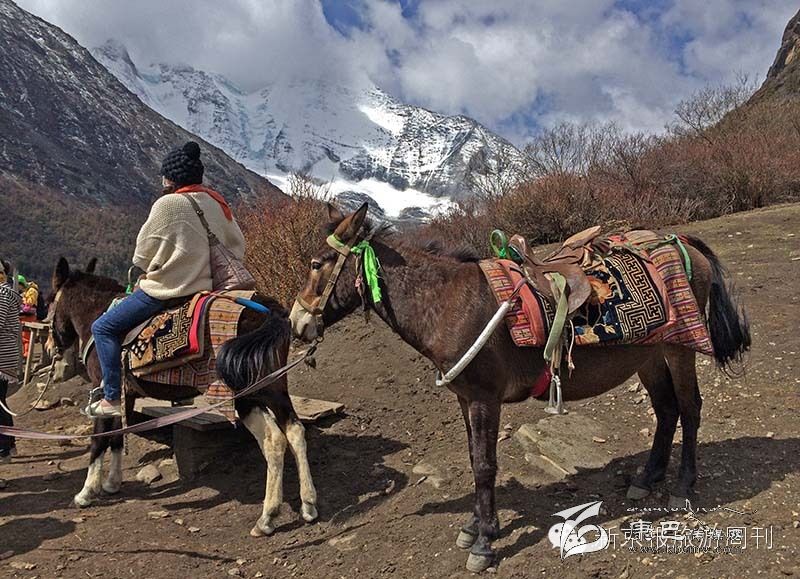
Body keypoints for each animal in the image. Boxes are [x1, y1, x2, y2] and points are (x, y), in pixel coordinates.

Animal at [48, 257, 318, 537]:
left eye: (48, 303)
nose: (50, 347)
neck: (97, 315)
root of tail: (270, 313)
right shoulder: (125, 396)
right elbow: (117, 437)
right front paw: (112, 483)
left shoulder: (104, 390)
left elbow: (99, 440)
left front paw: (86, 492)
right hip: (273, 387)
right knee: (294, 431)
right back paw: (308, 505)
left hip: (246, 395)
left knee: (273, 440)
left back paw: (267, 517)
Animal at [289, 203, 751, 572]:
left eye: (317, 263)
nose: (297, 323)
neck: (448, 304)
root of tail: (682, 240)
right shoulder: (465, 399)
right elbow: (474, 457)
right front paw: (478, 525)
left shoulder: (484, 399)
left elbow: (484, 466)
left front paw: (483, 544)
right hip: (649, 357)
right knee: (666, 410)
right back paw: (646, 478)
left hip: (680, 349)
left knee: (689, 408)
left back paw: (682, 486)